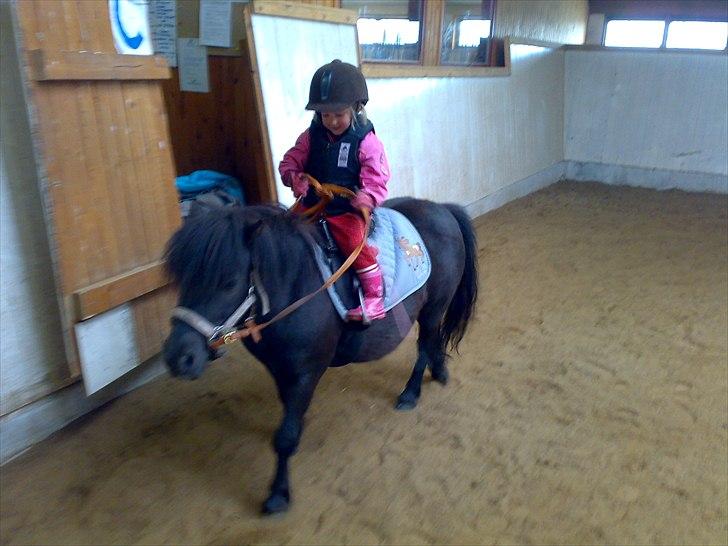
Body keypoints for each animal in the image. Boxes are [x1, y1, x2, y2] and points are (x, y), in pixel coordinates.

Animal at [164, 198, 478, 512]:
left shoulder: (305, 372)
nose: (179, 358)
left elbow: (284, 438)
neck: (294, 288)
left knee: (424, 345)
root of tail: (442, 208)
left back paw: (411, 393)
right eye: (182, 278)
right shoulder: (278, 369)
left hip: (434, 307)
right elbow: (289, 413)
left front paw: (278, 494)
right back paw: (438, 371)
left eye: (229, 283)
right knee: (432, 342)